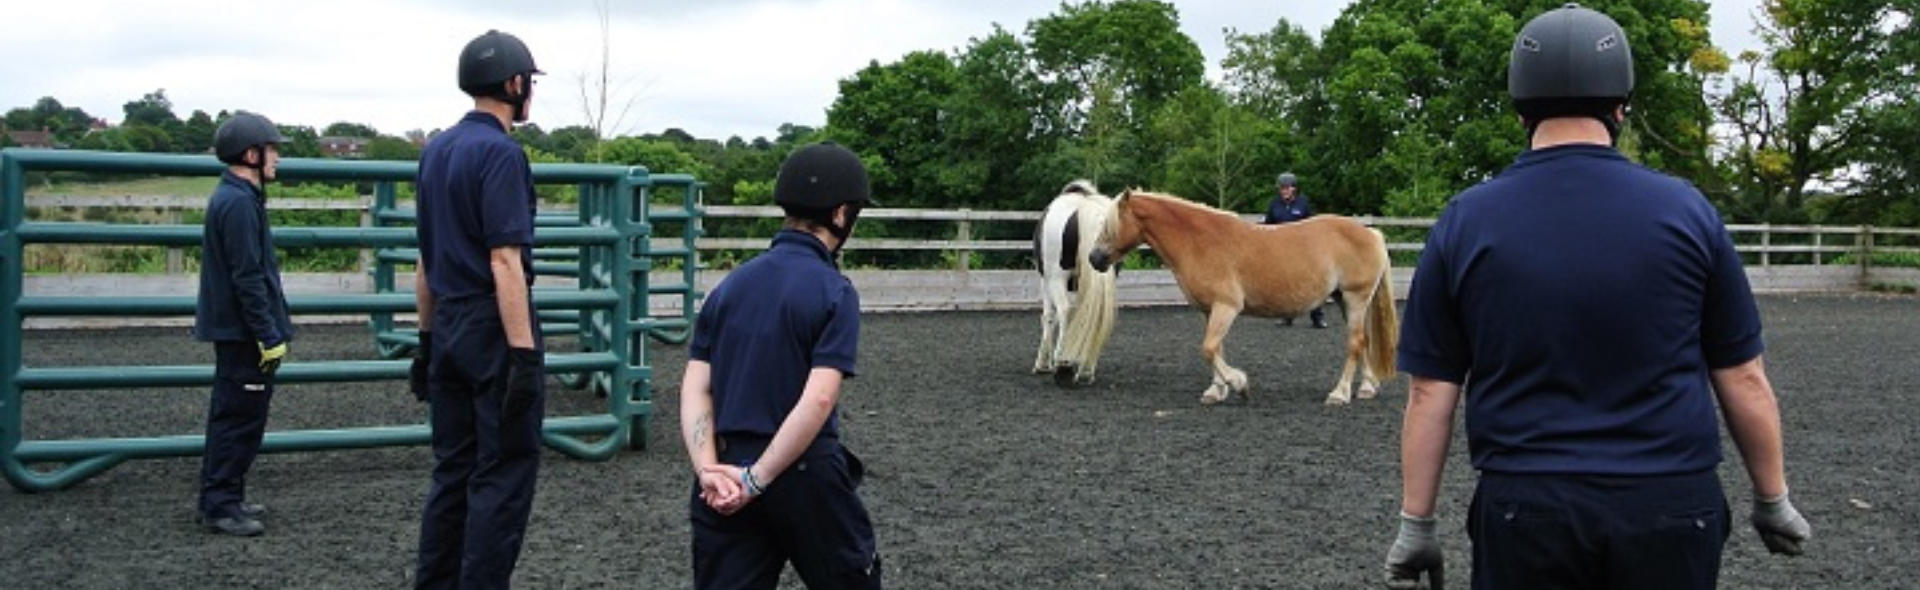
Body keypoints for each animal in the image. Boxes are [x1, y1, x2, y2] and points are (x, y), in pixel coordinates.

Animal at [1036, 178, 1121, 388]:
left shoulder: (1045, 281)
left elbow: (1049, 317)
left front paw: (1043, 363)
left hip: (1056, 278)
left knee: (1064, 311)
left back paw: (1063, 365)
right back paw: (1085, 370)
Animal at [1098, 191, 1397, 407]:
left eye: (1109, 225)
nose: (1094, 258)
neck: (1200, 242)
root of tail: (1371, 233)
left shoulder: (1227, 306)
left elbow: (1208, 348)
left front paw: (1239, 384)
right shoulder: (1210, 310)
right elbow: (1216, 349)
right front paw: (1216, 390)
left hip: (1356, 298)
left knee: (1355, 344)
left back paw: (1340, 394)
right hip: (1346, 301)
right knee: (1364, 341)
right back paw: (1367, 388)